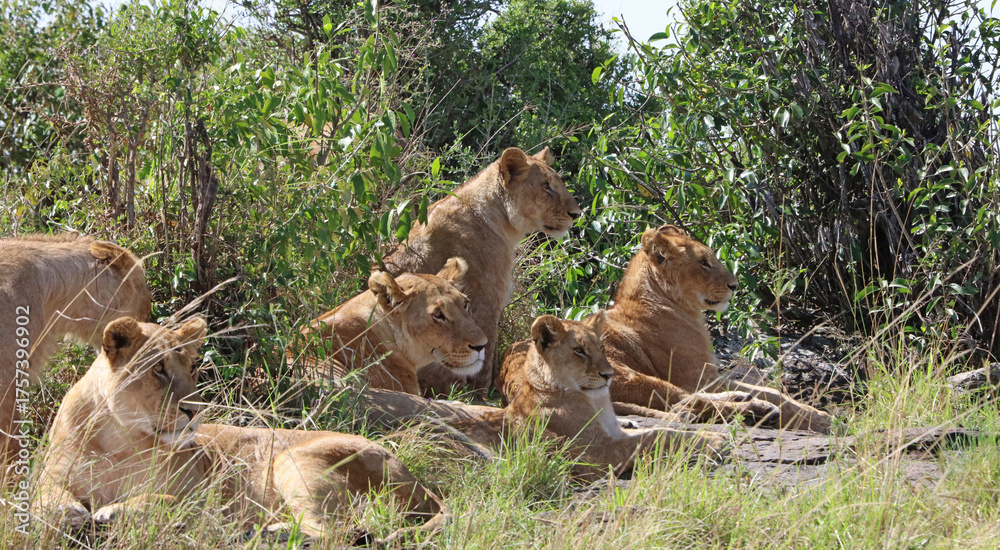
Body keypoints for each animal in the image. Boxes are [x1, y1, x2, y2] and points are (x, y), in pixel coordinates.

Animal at [33, 317, 445, 544]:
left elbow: (164, 500)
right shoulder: (47, 477)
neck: (117, 440)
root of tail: (417, 480)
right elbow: (43, 499)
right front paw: (69, 510)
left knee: (335, 532)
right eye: (159, 369)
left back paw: (256, 535)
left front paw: (110, 512)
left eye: (192, 368)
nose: (193, 410)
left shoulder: (201, 498)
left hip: (293, 459)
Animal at [359, 311, 727, 480]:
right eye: (579, 350)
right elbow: (658, 437)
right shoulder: (599, 452)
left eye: (602, 347)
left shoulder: (614, 437)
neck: (594, 400)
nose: (609, 375)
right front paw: (713, 440)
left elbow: (657, 431)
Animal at [383, 147, 582, 395]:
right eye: (546, 185)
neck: (501, 220)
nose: (576, 214)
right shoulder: (486, 301)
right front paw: (481, 396)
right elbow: (484, 357)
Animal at [499, 225, 831, 433]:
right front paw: (819, 417)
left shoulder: (708, 377)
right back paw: (756, 410)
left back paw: (744, 402)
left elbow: (770, 388)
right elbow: (774, 394)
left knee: (686, 403)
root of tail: (513, 380)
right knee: (687, 402)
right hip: (626, 374)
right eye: (704, 262)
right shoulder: (698, 377)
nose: (735, 286)